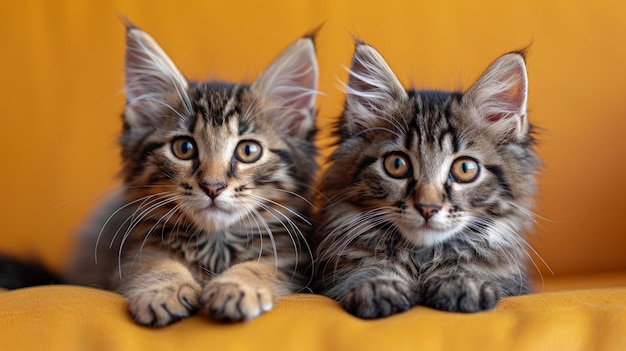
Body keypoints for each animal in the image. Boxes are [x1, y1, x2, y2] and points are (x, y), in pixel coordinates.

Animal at [63, 23, 320, 328]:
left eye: (248, 151)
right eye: (184, 148)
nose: (213, 186)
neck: (216, 243)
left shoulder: (290, 260)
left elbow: (262, 267)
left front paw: (237, 286)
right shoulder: (135, 250)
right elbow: (155, 263)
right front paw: (164, 290)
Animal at [314, 41, 540, 320]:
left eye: (465, 168)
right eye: (397, 165)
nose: (427, 208)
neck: (423, 257)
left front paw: (461, 281)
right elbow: (366, 267)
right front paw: (379, 285)